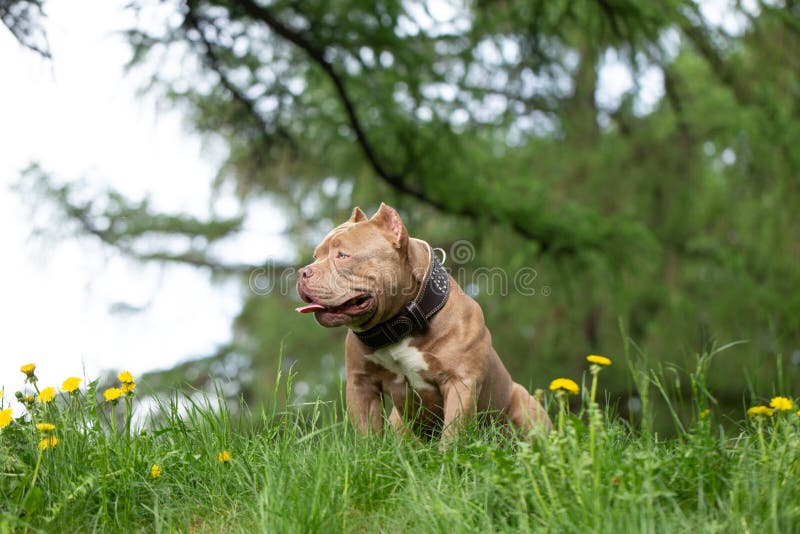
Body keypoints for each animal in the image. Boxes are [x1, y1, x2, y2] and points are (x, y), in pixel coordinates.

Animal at [296, 203, 552, 442]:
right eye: (316, 256)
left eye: (342, 255)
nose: (302, 272)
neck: (400, 325)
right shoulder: (361, 384)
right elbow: (368, 434)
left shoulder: (460, 382)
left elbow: (452, 434)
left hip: (525, 405)